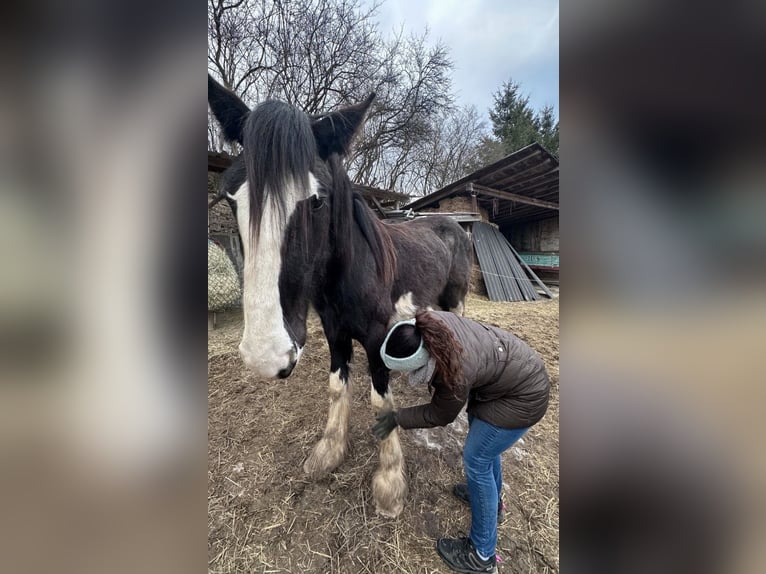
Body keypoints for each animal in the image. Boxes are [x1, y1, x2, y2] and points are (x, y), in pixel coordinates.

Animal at [208, 75, 473, 517]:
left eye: (317, 201)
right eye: (232, 199)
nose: (266, 355)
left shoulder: (377, 336)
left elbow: (381, 402)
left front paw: (390, 484)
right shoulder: (334, 331)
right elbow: (336, 386)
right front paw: (328, 452)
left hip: (454, 299)